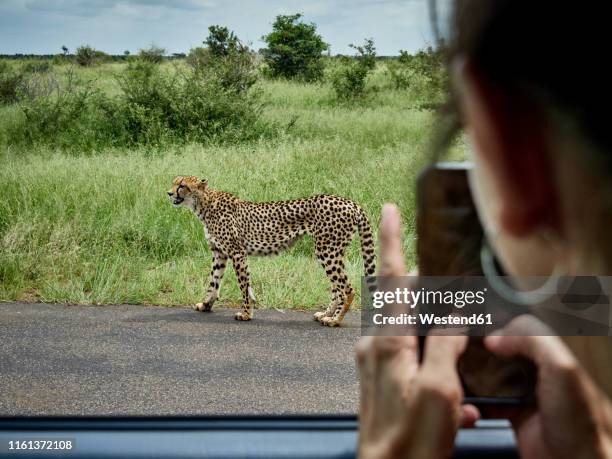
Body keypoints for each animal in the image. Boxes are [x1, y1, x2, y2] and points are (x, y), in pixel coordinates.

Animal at [169, 176, 378, 328]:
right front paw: (206, 305)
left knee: (347, 289)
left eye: (182, 185)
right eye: (174, 182)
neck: (203, 204)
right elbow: (214, 282)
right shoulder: (219, 253)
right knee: (337, 289)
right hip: (333, 251)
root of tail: (350, 202)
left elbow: (243, 285)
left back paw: (335, 320)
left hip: (327, 250)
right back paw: (326, 314)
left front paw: (246, 313)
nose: (169, 193)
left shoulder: (237, 253)